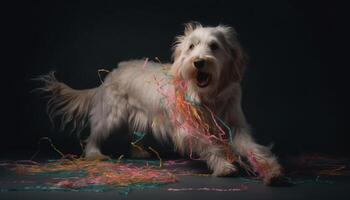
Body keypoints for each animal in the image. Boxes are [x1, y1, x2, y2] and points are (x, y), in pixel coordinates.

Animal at [36, 21, 282, 184]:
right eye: (191, 47)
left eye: (214, 46)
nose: (199, 62)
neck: (208, 95)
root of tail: (111, 74)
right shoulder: (188, 129)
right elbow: (210, 145)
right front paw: (223, 166)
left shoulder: (236, 126)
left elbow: (254, 148)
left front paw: (271, 170)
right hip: (110, 116)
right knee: (94, 135)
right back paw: (95, 154)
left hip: (138, 116)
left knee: (134, 134)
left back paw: (139, 153)